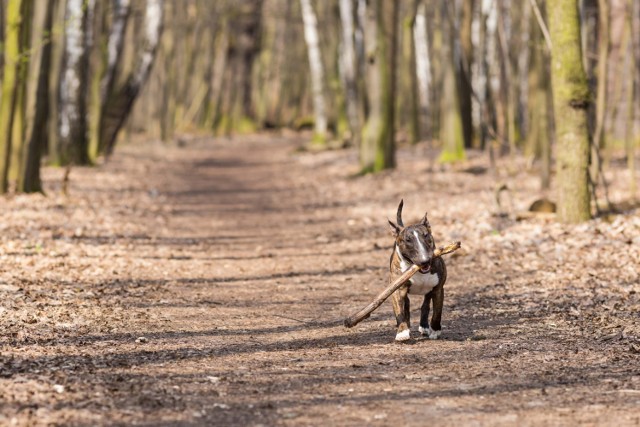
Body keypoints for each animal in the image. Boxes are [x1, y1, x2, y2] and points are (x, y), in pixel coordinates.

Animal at [388, 201, 448, 344]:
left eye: (426, 235)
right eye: (407, 240)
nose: (425, 260)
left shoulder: (438, 289)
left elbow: (437, 312)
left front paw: (435, 330)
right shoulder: (397, 290)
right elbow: (400, 311)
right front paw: (402, 332)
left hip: (429, 291)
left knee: (425, 305)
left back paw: (425, 327)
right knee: (407, 305)